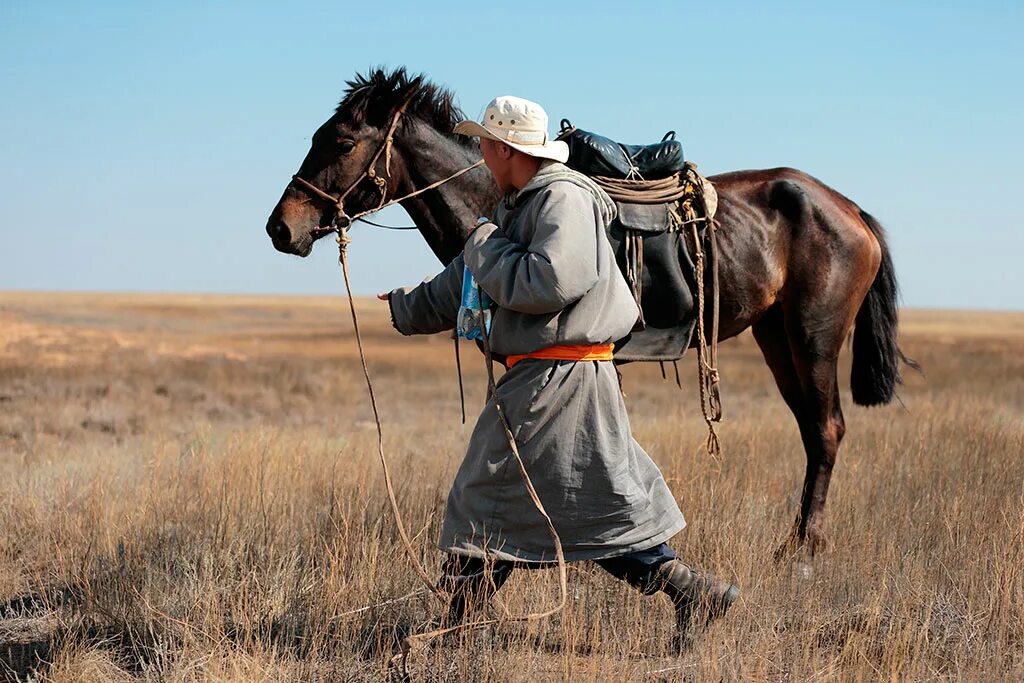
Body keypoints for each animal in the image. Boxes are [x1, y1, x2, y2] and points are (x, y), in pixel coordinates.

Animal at [264, 68, 913, 561]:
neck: (498, 199)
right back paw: (797, 539)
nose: (280, 228)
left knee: (827, 429)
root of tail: (848, 208)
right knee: (811, 428)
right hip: (776, 337)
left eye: (342, 143)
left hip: (814, 336)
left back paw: (804, 547)